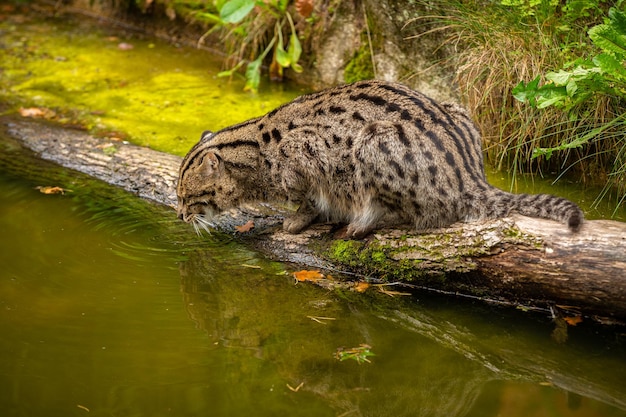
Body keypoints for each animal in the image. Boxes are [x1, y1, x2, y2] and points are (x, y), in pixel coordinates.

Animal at [174, 79, 580, 237]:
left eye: (186, 198)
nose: (178, 215)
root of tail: (471, 175)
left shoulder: (309, 154)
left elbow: (309, 198)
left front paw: (298, 219)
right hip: (457, 109)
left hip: (372, 144)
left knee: (416, 213)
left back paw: (364, 222)